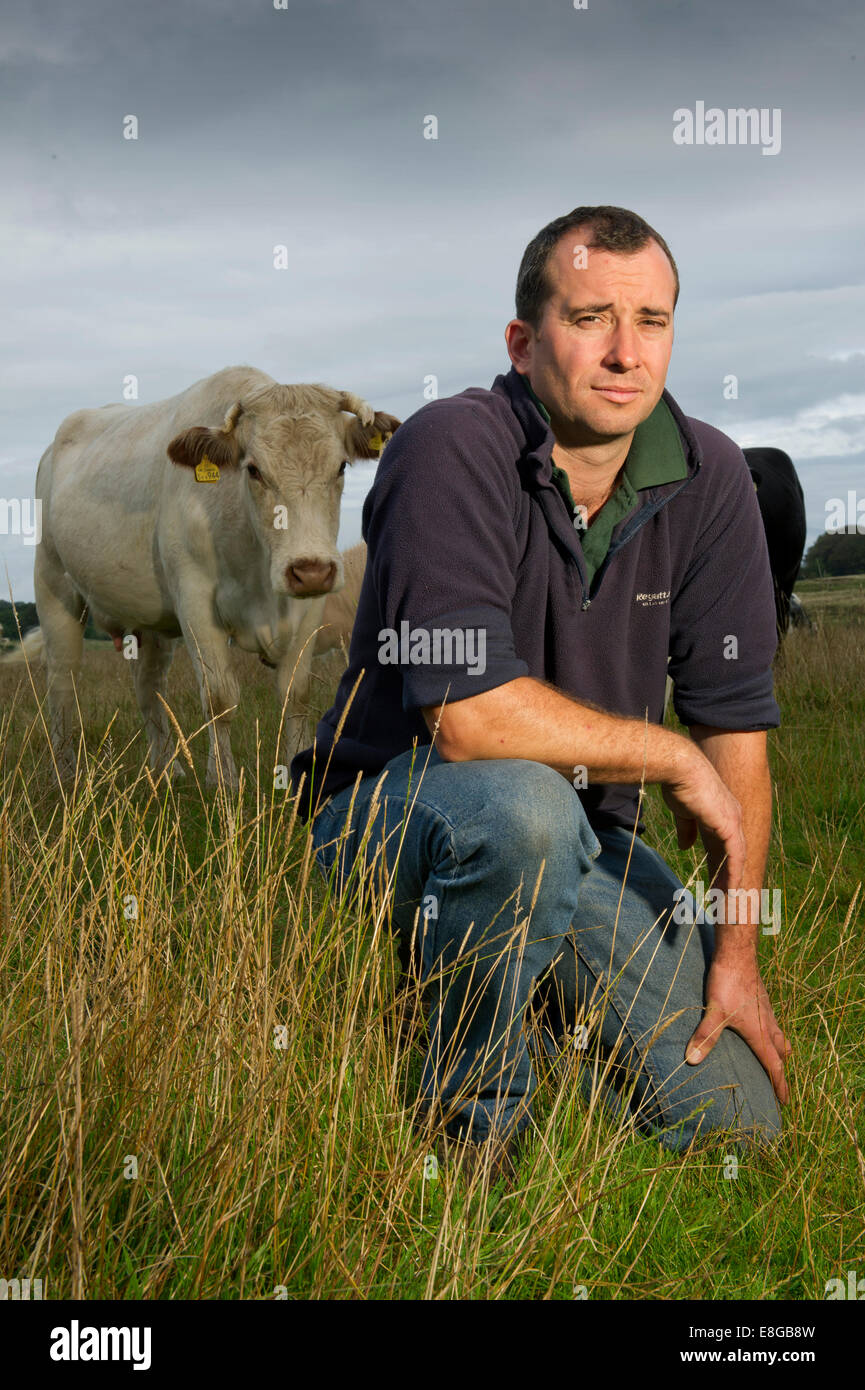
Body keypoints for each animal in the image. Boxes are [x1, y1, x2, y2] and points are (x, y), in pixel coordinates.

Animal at [33, 364, 400, 789]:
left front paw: (297, 773)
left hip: (150, 622)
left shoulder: (310, 606)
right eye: (253, 470)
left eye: (340, 466)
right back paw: (65, 773)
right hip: (54, 587)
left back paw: (167, 769)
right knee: (62, 683)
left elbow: (296, 694)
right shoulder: (194, 601)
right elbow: (219, 697)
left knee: (149, 688)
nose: (310, 570)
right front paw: (222, 780)